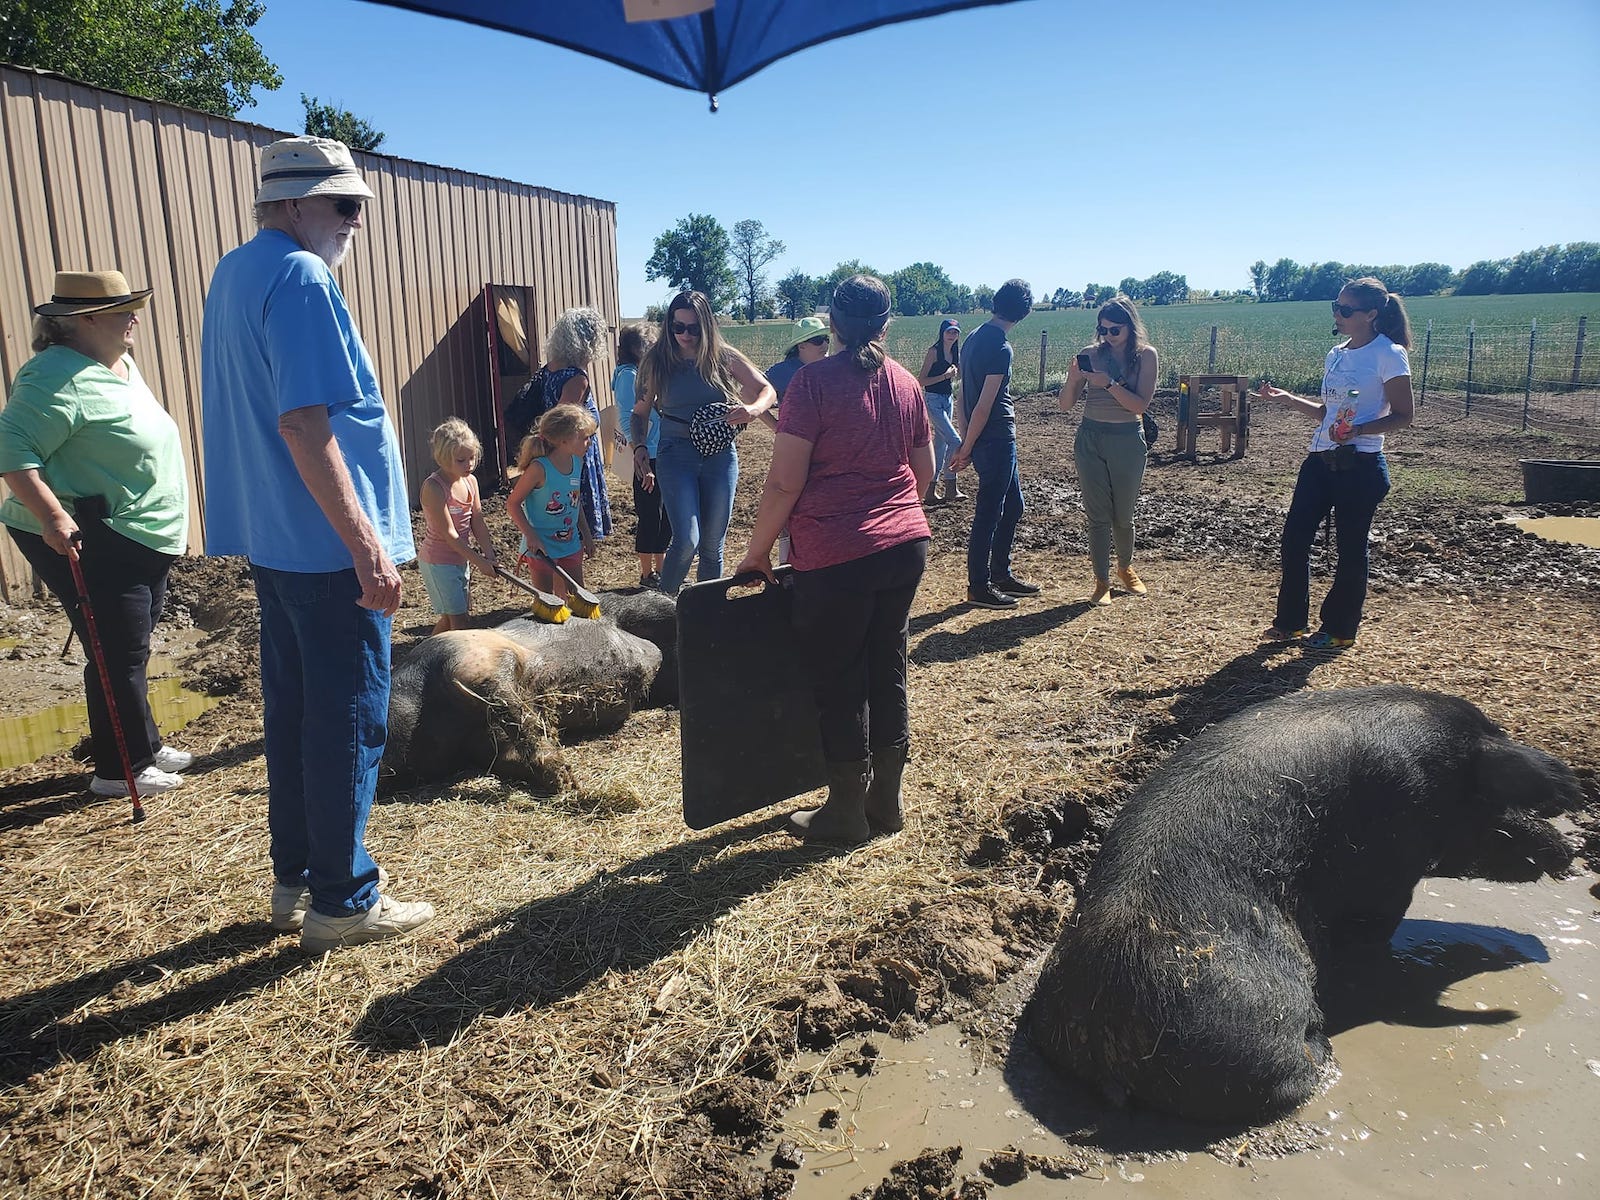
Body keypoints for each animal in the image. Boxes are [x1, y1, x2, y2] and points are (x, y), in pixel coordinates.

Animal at [1024, 684, 1574, 1126]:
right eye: (1498, 801)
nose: (1565, 854)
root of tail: (1100, 1040)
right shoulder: (1394, 855)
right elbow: (1378, 923)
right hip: (1255, 1032)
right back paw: (1324, 1044)